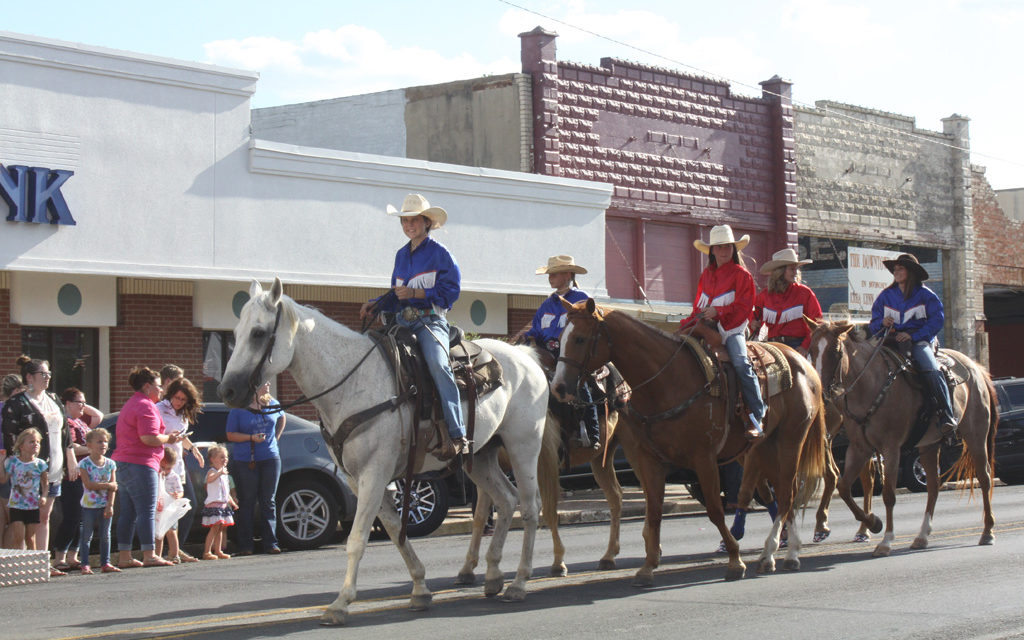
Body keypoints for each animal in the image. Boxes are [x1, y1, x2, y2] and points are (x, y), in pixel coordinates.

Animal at [216, 278, 552, 622]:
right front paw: (419, 588)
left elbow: (357, 538)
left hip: (523, 444)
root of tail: (524, 356)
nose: (227, 391)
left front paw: (341, 603)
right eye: (235, 332)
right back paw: (494, 576)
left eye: (258, 333)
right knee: (506, 499)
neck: (350, 386)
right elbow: (392, 529)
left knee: (530, 506)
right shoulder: (357, 478)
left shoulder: (374, 472)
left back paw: (519, 582)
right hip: (481, 457)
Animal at [552, 296, 823, 581]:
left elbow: (714, 509)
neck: (665, 381)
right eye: (560, 337)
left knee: (786, 493)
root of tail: (802, 362)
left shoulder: (704, 458)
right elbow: (654, 510)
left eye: (580, 338)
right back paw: (781, 550)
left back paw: (781, 553)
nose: (558, 387)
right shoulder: (649, 459)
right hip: (765, 446)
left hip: (791, 438)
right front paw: (648, 566)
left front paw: (735, 559)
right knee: (781, 492)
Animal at [802, 319, 995, 552]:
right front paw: (874, 523)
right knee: (933, 485)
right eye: (811, 350)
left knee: (984, 478)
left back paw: (987, 532)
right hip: (928, 445)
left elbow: (888, 494)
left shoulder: (891, 448)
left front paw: (886, 540)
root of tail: (975, 366)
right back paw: (922, 536)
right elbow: (845, 487)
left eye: (836, 351)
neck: (870, 386)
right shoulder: (859, 448)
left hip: (976, 434)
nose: (819, 393)